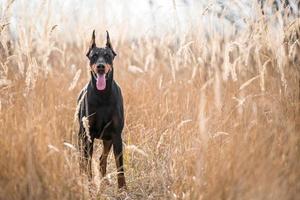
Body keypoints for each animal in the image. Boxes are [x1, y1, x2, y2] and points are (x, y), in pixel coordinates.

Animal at [77, 30, 125, 188]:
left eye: (108, 55)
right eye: (94, 56)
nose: (100, 66)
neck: (102, 95)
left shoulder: (116, 135)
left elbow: (120, 165)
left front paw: (122, 189)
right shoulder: (88, 135)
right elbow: (87, 163)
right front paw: (89, 184)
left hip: (107, 139)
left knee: (101, 159)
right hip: (81, 136)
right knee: (83, 159)